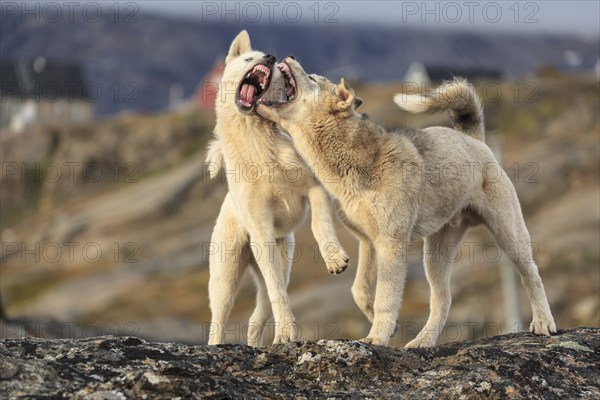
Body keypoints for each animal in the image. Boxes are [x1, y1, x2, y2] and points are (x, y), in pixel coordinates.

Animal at [204, 31, 350, 346]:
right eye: (249, 58)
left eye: (267, 59)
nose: (270, 57)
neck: (258, 148)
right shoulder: (261, 230)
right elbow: (278, 293)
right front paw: (286, 333)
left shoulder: (314, 188)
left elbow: (320, 225)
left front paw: (334, 259)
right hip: (226, 275)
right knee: (222, 318)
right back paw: (218, 345)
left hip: (284, 258)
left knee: (256, 317)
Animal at [255, 57, 556, 348]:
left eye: (313, 78)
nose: (289, 56)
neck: (351, 160)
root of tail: (473, 139)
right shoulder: (368, 242)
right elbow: (359, 290)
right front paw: (381, 323)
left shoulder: (390, 244)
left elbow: (385, 297)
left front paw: (377, 337)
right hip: (435, 252)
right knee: (443, 299)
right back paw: (422, 341)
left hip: (509, 234)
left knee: (532, 275)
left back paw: (543, 323)